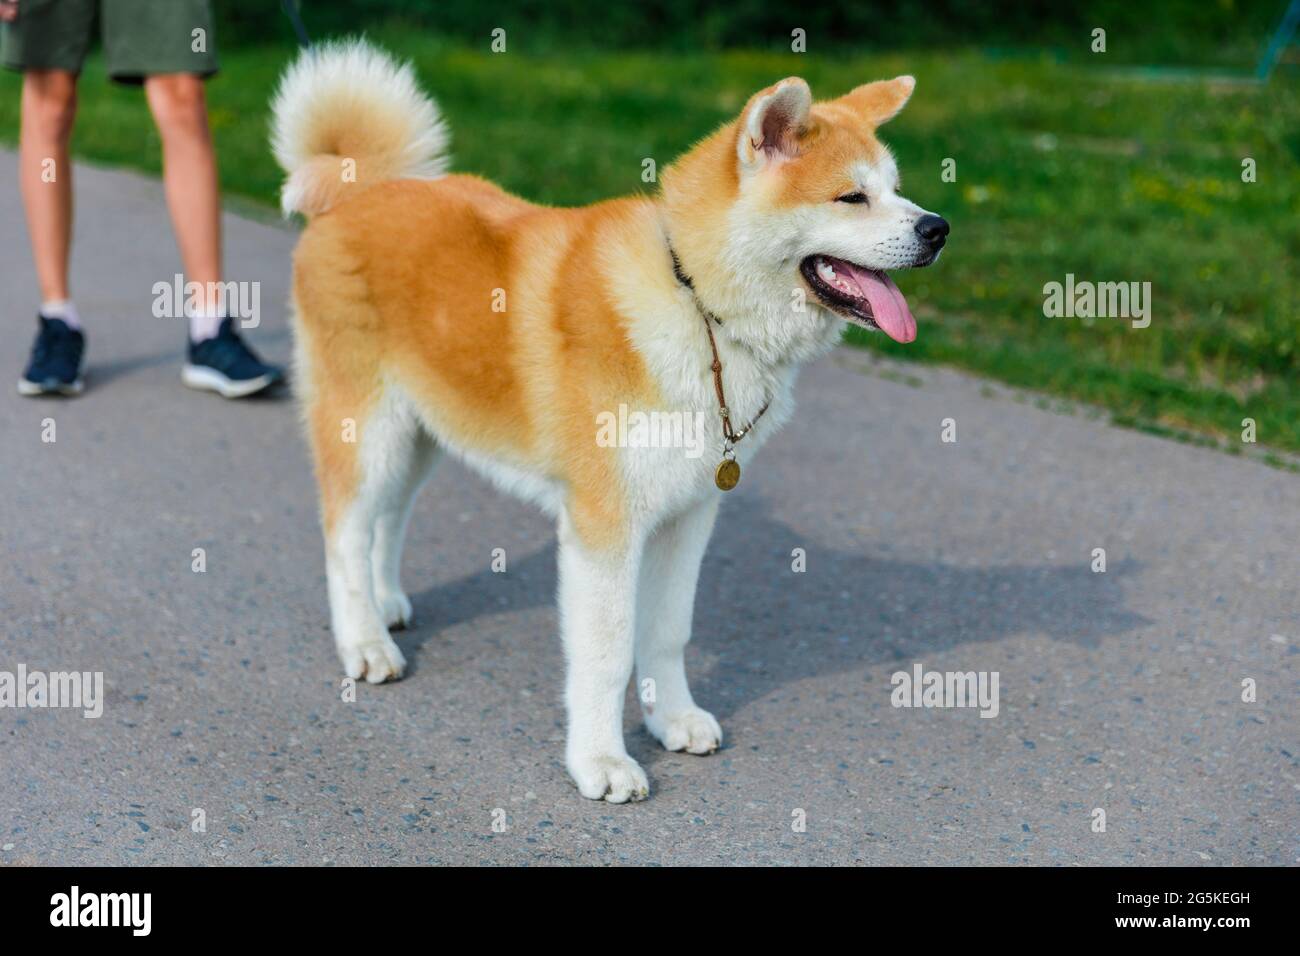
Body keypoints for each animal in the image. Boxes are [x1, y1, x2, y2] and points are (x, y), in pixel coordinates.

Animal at [269, 41, 951, 806]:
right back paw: (363, 641)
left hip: (424, 433)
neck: (697, 303)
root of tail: (358, 188)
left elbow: (667, 631)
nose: (938, 228)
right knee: (345, 534)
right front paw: (600, 760)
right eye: (851, 197)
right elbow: (606, 653)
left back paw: (386, 605)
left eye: (897, 189)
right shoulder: (605, 527)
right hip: (369, 429)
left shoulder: (689, 514)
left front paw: (672, 718)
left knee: (389, 519)